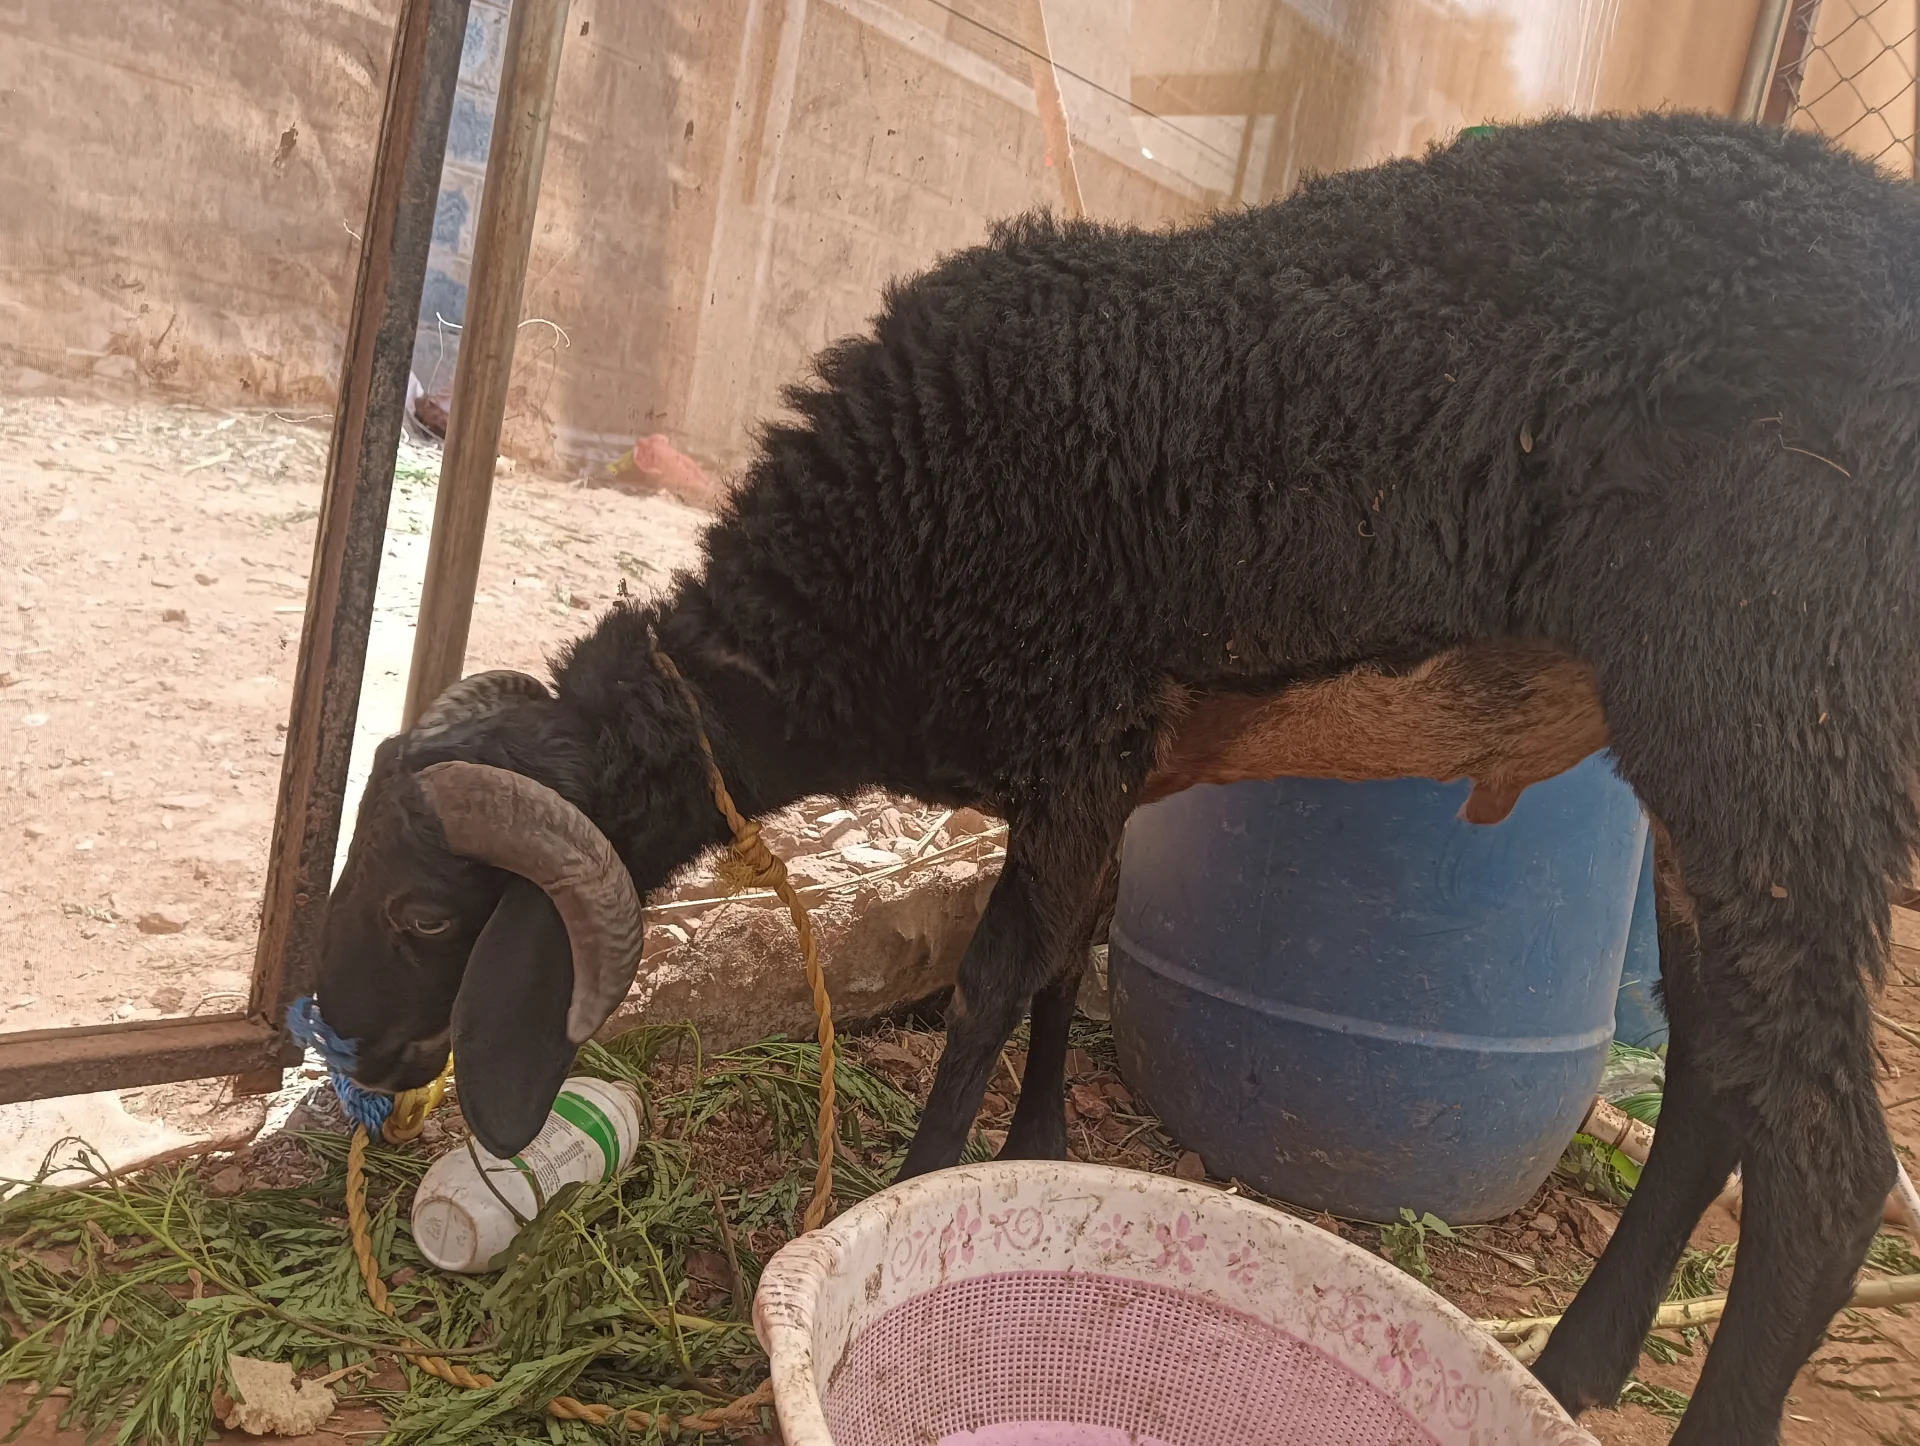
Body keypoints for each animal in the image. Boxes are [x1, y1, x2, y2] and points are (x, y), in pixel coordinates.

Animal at [316, 112, 1920, 1443]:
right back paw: (1580, 1365)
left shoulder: (1079, 723)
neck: (864, 577)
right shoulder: (1106, 766)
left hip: (1773, 718)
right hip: (1727, 782)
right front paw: (1040, 1146)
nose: (347, 1047)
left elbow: (991, 979)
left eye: (419, 914)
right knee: (1717, 1083)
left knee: (1829, 1167)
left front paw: (918, 1184)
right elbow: (1064, 964)